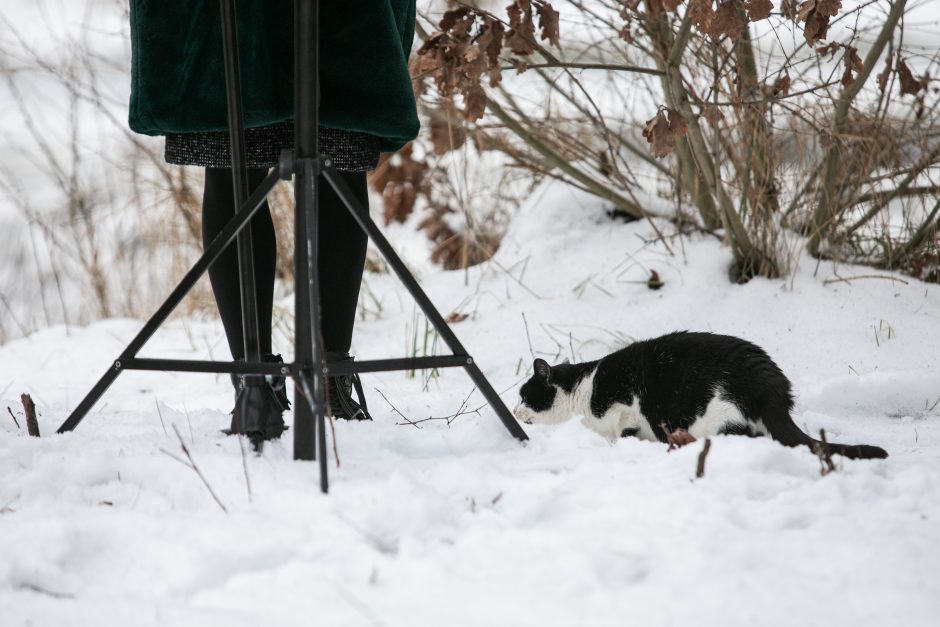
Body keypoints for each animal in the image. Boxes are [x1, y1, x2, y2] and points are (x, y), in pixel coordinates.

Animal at [516, 334, 888, 462]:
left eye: (523, 395)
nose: (515, 409)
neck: (583, 391)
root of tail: (772, 385)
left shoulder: (623, 404)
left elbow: (623, 427)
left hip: (716, 410)